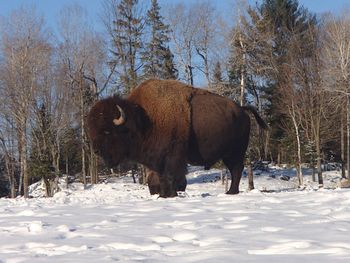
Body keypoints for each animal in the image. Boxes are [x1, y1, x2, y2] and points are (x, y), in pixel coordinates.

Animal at [88, 80, 268, 198]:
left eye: (107, 131)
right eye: (93, 129)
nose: (95, 150)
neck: (143, 119)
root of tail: (242, 111)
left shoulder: (172, 156)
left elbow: (170, 176)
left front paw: (170, 195)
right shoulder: (157, 160)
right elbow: (160, 177)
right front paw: (162, 195)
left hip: (234, 153)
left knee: (236, 169)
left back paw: (231, 192)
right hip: (228, 154)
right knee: (235, 169)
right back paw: (231, 192)